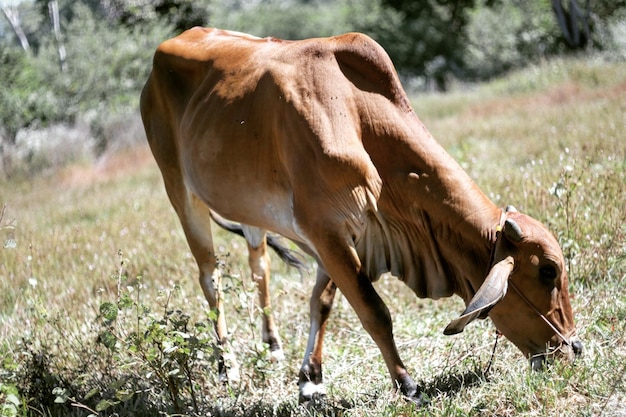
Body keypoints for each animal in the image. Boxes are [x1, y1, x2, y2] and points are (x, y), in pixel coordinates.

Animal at [141, 26, 580, 404]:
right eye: (547, 271)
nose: (573, 347)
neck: (357, 117)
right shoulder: (326, 230)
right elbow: (374, 310)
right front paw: (406, 384)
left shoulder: (341, 238)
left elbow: (321, 302)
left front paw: (310, 381)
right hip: (179, 190)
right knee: (210, 278)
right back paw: (226, 366)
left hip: (249, 210)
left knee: (259, 264)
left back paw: (272, 345)